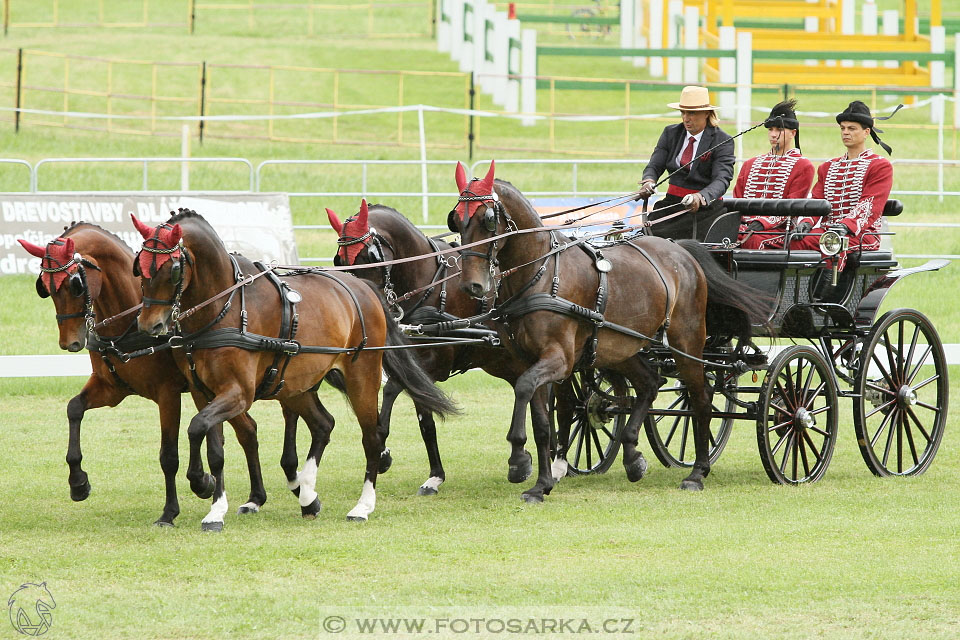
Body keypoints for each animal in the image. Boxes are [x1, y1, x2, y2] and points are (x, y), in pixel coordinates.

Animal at [18, 224, 274, 524]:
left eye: (75, 285)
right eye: (44, 287)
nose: (69, 342)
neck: (128, 321)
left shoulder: (168, 394)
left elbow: (169, 456)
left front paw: (172, 509)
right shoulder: (111, 388)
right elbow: (74, 408)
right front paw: (78, 482)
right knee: (248, 430)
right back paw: (255, 497)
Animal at [130, 210, 454, 528]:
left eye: (172, 269)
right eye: (139, 268)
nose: (149, 325)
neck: (225, 308)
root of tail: (365, 288)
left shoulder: (238, 393)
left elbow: (197, 426)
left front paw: (201, 483)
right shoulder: (203, 392)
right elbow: (213, 446)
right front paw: (215, 508)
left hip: (361, 376)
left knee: (372, 437)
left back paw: (362, 506)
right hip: (296, 385)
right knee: (324, 424)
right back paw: (307, 494)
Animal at [450, 160, 764, 500]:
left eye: (488, 219)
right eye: (456, 220)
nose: (472, 286)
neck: (541, 274)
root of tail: (680, 250)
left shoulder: (559, 359)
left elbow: (524, 389)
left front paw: (519, 459)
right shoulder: (528, 360)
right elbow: (541, 419)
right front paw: (540, 483)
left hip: (687, 342)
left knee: (701, 398)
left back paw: (697, 472)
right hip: (623, 348)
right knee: (650, 384)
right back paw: (633, 457)